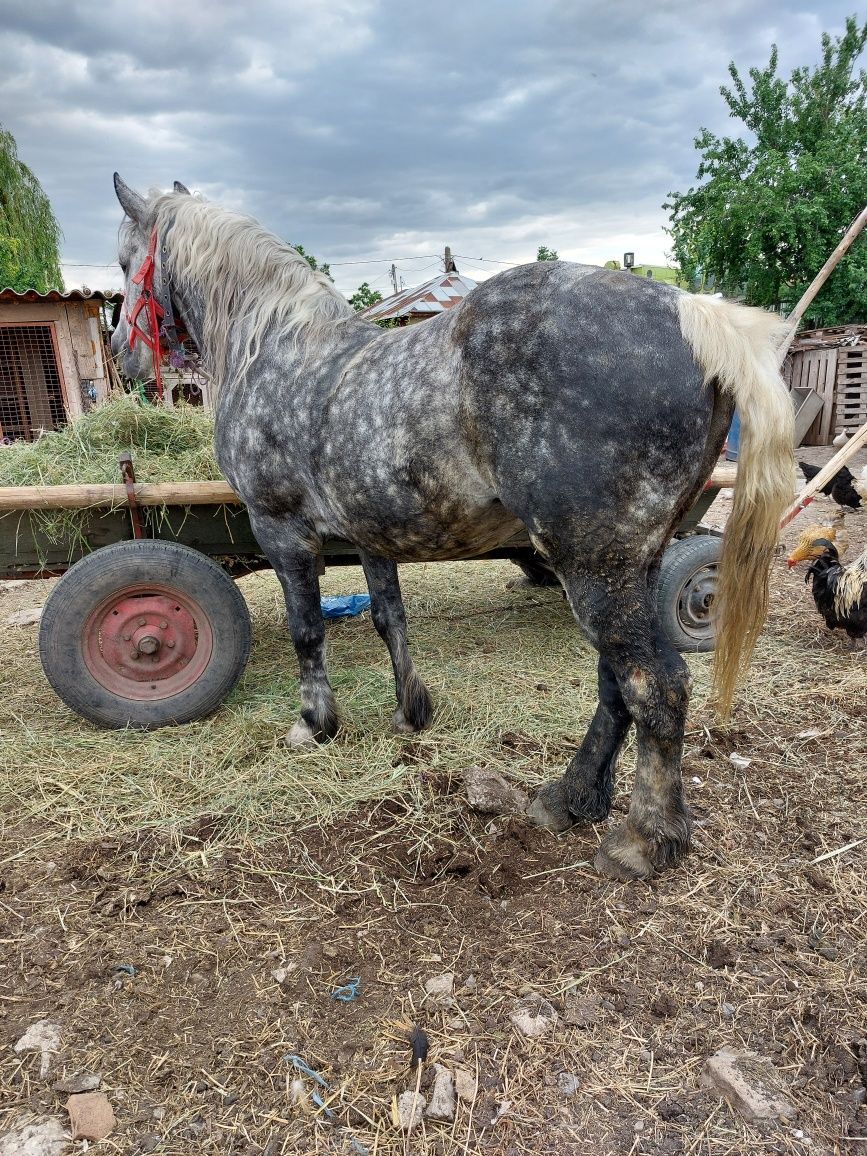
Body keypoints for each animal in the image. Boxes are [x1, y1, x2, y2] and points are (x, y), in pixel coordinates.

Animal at [113, 175, 795, 873]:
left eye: (124, 263)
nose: (122, 359)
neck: (276, 348)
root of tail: (692, 311)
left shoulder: (282, 530)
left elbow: (307, 630)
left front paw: (315, 723)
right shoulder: (370, 536)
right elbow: (389, 618)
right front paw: (411, 712)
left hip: (594, 565)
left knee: (653, 685)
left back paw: (642, 838)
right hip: (634, 562)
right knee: (614, 684)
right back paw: (569, 800)